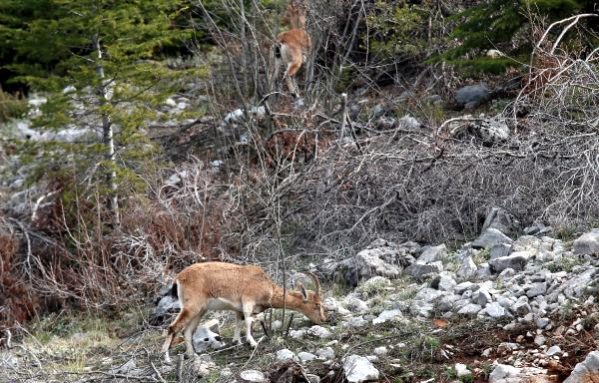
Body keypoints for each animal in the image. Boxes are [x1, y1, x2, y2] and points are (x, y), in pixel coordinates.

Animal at [162, 260, 326, 364]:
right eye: (316, 304)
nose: (324, 320)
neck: (267, 286)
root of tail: (179, 278)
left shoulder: (239, 308)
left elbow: (239, 322)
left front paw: (237, 342)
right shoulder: (248, 300)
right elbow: (248, 320)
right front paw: (252, 343)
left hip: (200, 310)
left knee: (187, 331)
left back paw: (192, 355)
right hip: (192, 307)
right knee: (173, 327)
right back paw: (167, 359)